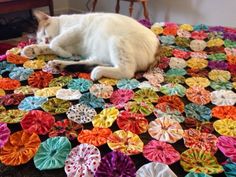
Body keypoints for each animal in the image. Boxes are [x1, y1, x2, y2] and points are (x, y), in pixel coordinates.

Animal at [21, 10, 160, 80]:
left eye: (44, 31)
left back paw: (97, 71)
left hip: (117, 41)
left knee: (127, 72)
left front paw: (64, 53)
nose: (45, 40)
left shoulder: (77, 29)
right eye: (39, 39)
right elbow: (50, 47)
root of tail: (157, 48)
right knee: (86, 63)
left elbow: (55, 43)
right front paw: (32, 49)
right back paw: (59, 64)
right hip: (99, 54)